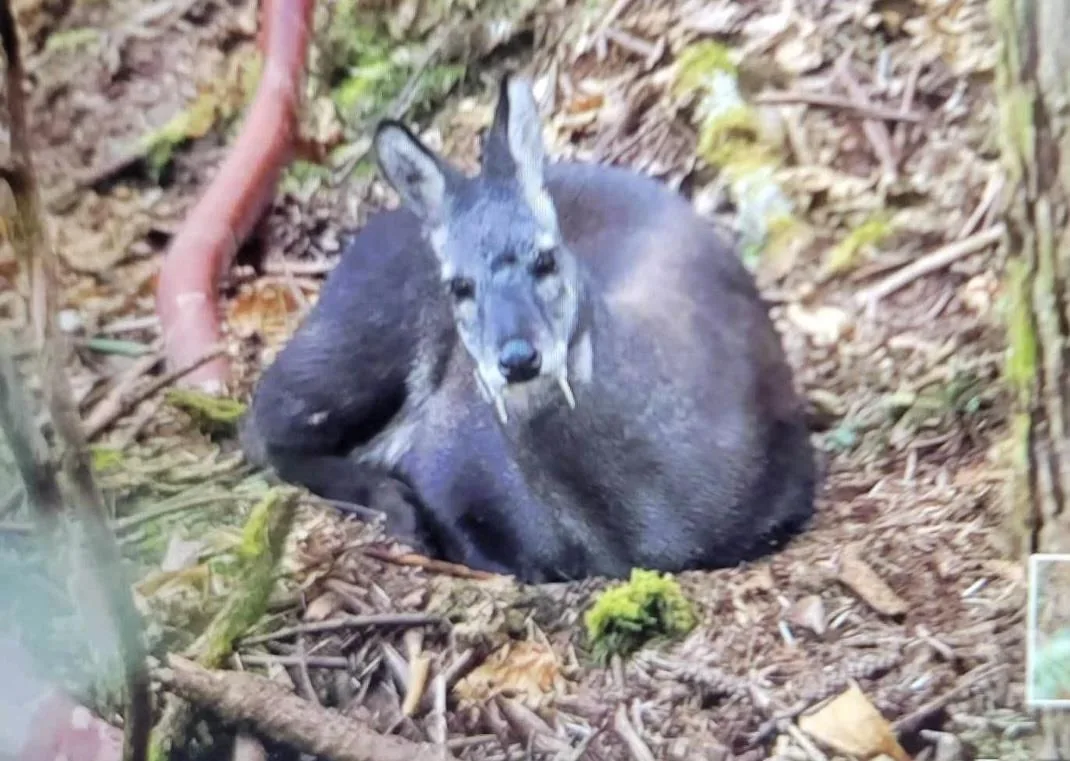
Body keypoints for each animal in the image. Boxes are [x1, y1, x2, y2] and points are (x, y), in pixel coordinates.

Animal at [239, 74, 817, 584]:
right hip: (360, 341)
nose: (518, 358)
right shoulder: (446, 455)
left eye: (546, 257)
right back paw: (392, 504)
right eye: (458, 285)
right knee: (264, 421)